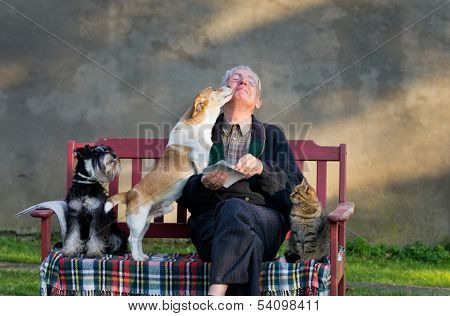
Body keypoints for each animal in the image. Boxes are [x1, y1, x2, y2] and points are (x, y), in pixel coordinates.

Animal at [104, 86, 232, 260]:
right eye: (213, 89)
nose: (230, 86)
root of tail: (129, 194)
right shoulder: (200, 162)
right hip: (138, 221)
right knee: (132, 239)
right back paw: (137, 258)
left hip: (146, 222)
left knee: (139, 240)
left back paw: (143, 256)